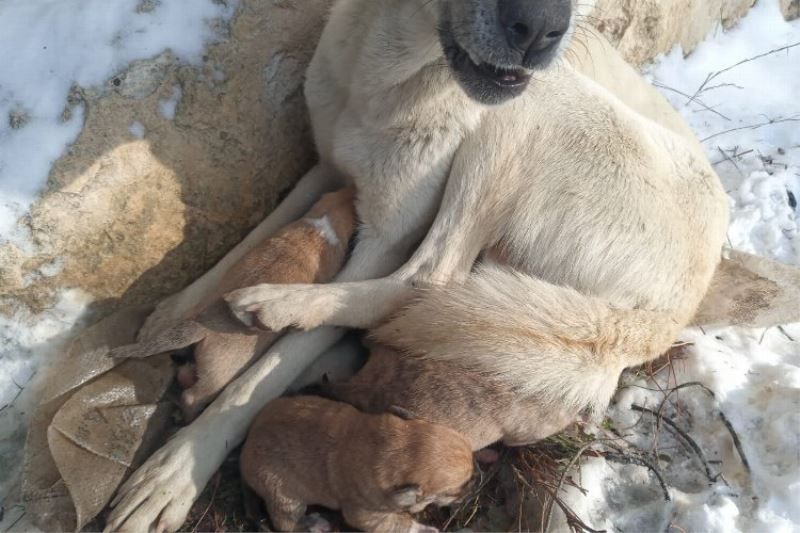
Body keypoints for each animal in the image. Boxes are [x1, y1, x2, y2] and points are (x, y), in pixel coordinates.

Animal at [108, 189, 356, 418]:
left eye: (339, 193)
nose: (351, 189)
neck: (323, 223)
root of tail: (200, 327)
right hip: (218, 375)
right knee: (193, 395)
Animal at [239, 392, 476, 528]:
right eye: (455, 490)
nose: (472, 486)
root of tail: (246, 446)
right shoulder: (365, 515)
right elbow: (397, 525)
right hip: (285, 497)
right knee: (286, 525)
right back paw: (315, 524)